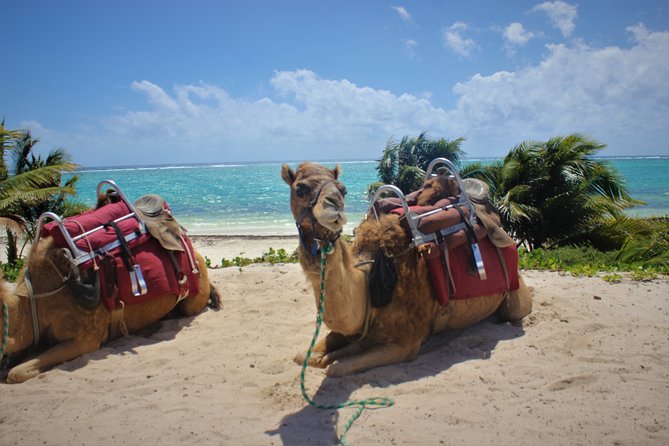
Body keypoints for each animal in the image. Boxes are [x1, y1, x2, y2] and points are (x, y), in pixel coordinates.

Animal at [281, 161, 532, 377]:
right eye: (300, 188)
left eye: (343, 190)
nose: (332, 205)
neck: (374, 277)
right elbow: (304, 356)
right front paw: (319, 356)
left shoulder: (406, 343)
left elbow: (337, 367)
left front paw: (331, 360)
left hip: (515, 293)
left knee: (515, 311)